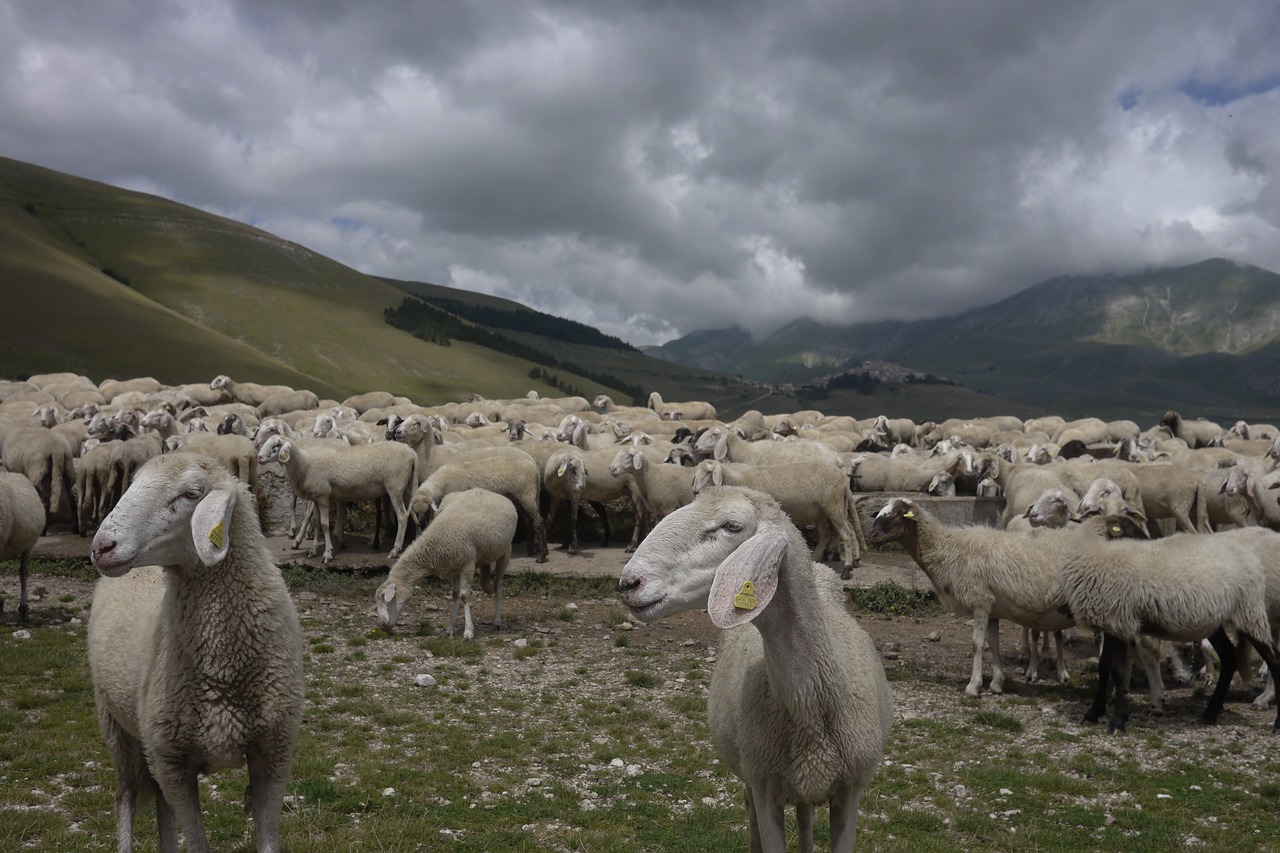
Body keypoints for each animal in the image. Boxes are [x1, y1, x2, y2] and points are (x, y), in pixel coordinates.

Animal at [87, 450, 304, 850]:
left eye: (190, 493)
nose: (101, 547)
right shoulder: (174, 762)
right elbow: (197, 839)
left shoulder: (274, 751)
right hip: (116, 724)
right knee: (126, 796)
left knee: (159, 803)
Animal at [373, 484, 514, 637]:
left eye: (383, 597)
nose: (383, 625)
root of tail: (490, 492)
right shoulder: (453, 568)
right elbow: (455, 595)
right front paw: (451, 627)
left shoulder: (467, 565)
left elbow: (464, 596)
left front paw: (468, 630)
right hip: (486, 555)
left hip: (505, 552)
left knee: (497, 585)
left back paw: (497, 620)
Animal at [616, 484, 890, 850]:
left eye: (732, 526)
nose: (629, 583)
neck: (811, 703)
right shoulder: (764, 788)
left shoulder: (851, 792)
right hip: (749, 773)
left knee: (805, 816)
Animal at [865, 499, 1075, 691]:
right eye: (879, 514)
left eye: (896, 514)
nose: (872, 536)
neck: (946, 548)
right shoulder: (992, 606)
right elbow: (994, 643)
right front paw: (997, 683)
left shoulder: (979, 600)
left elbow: (977, 644)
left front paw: (974, 686)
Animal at [1054, 504, 1280, 732]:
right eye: (1129, 528)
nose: (1150, 541)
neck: (1097, 551)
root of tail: (1248, 557)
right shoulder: (1111, 622)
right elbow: (1104, 667)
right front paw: (1093, 713)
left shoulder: (1120, 621)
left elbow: (1117, 671)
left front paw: (1117, 721)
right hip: (1217, 621)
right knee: (1229, 657)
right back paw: (1210, 713)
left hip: (1249, 612)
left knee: (1274, 659)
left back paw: (1275, 721)